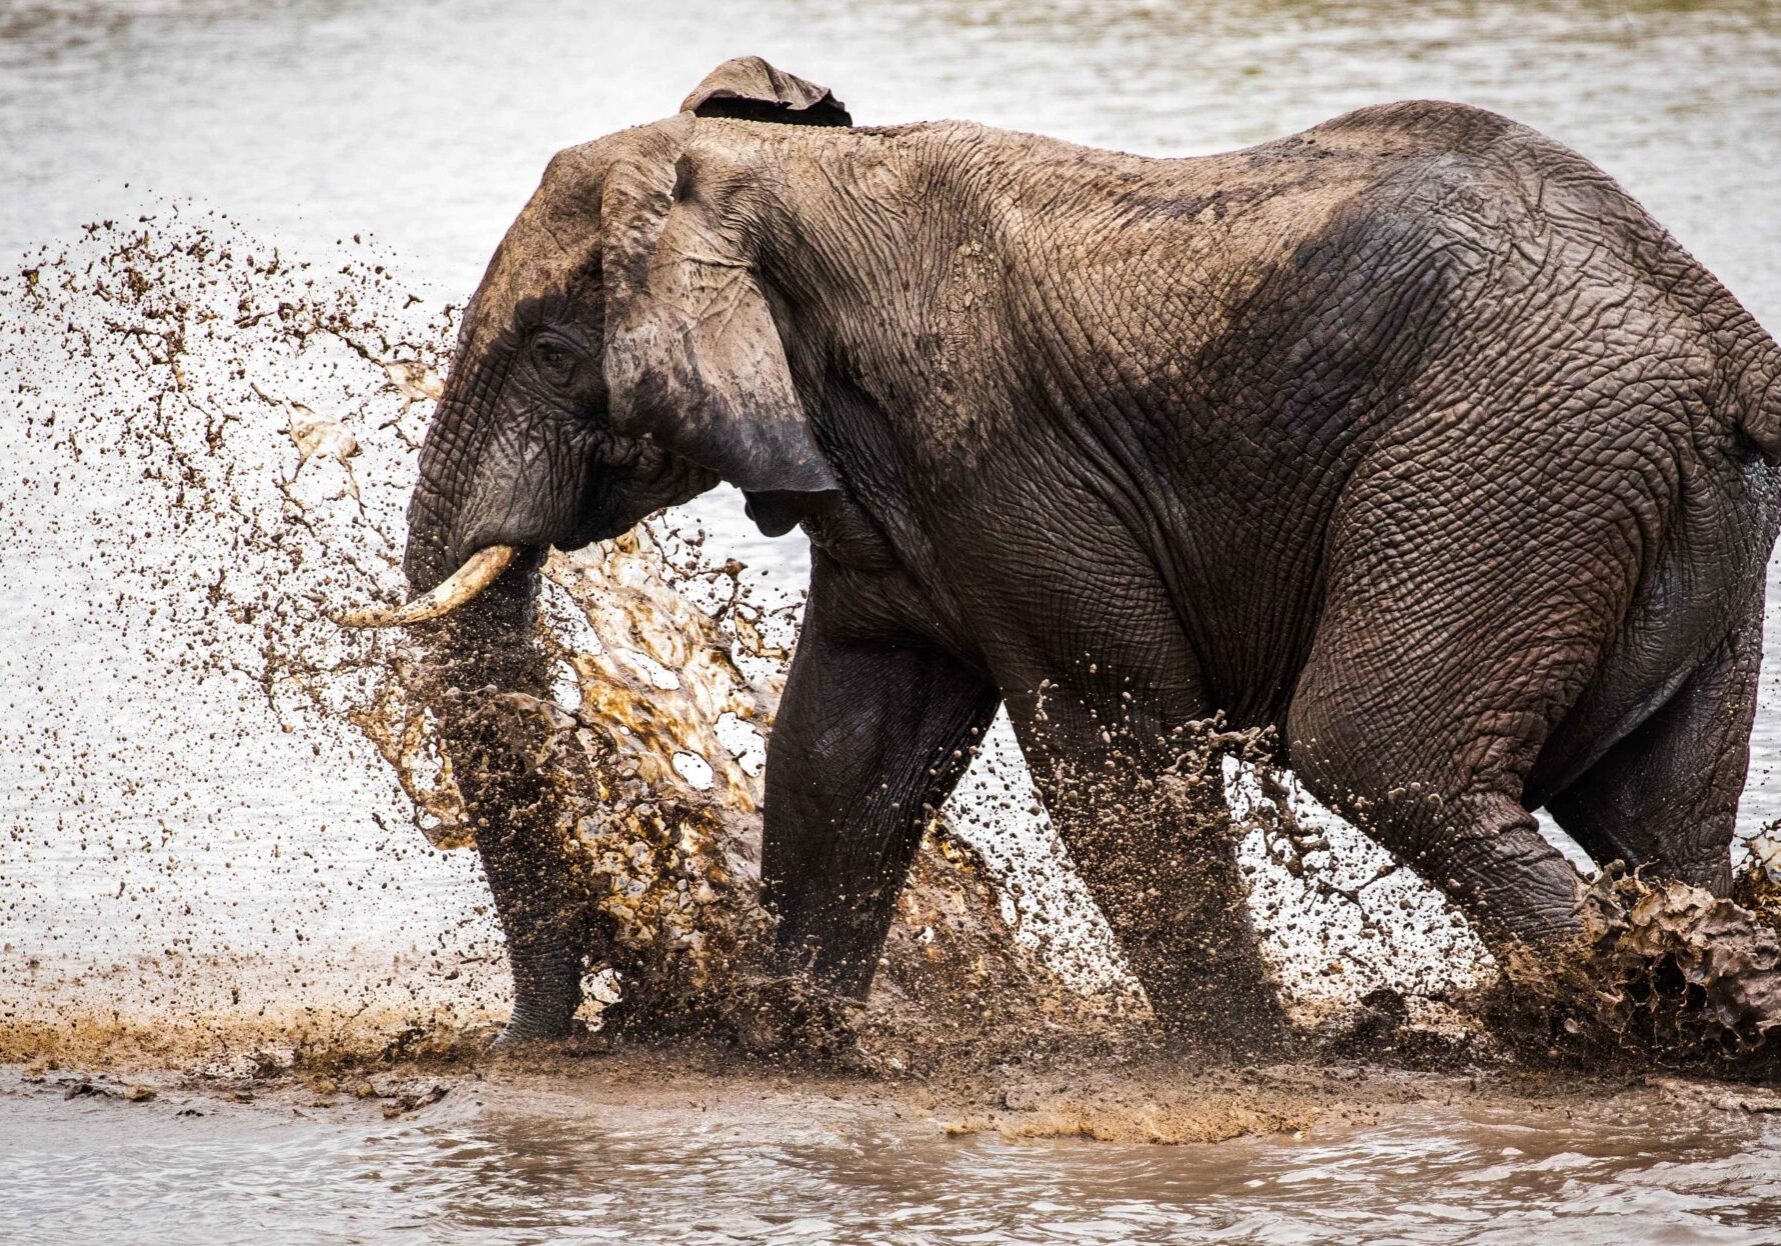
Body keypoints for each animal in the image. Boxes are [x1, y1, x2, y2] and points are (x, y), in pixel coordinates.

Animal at [343, 58, 1781, 1053]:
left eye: (549, 349)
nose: (533, 1039)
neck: (782, 181)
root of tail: (1719, 332)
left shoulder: (1003, 460)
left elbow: (1111, 745)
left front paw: (1240, 1060)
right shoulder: (900, 502)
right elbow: (844, 744)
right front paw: (789, 1035)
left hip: (1513, 463)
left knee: (1384, 754)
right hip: (1641, 501)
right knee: (1656, 814)